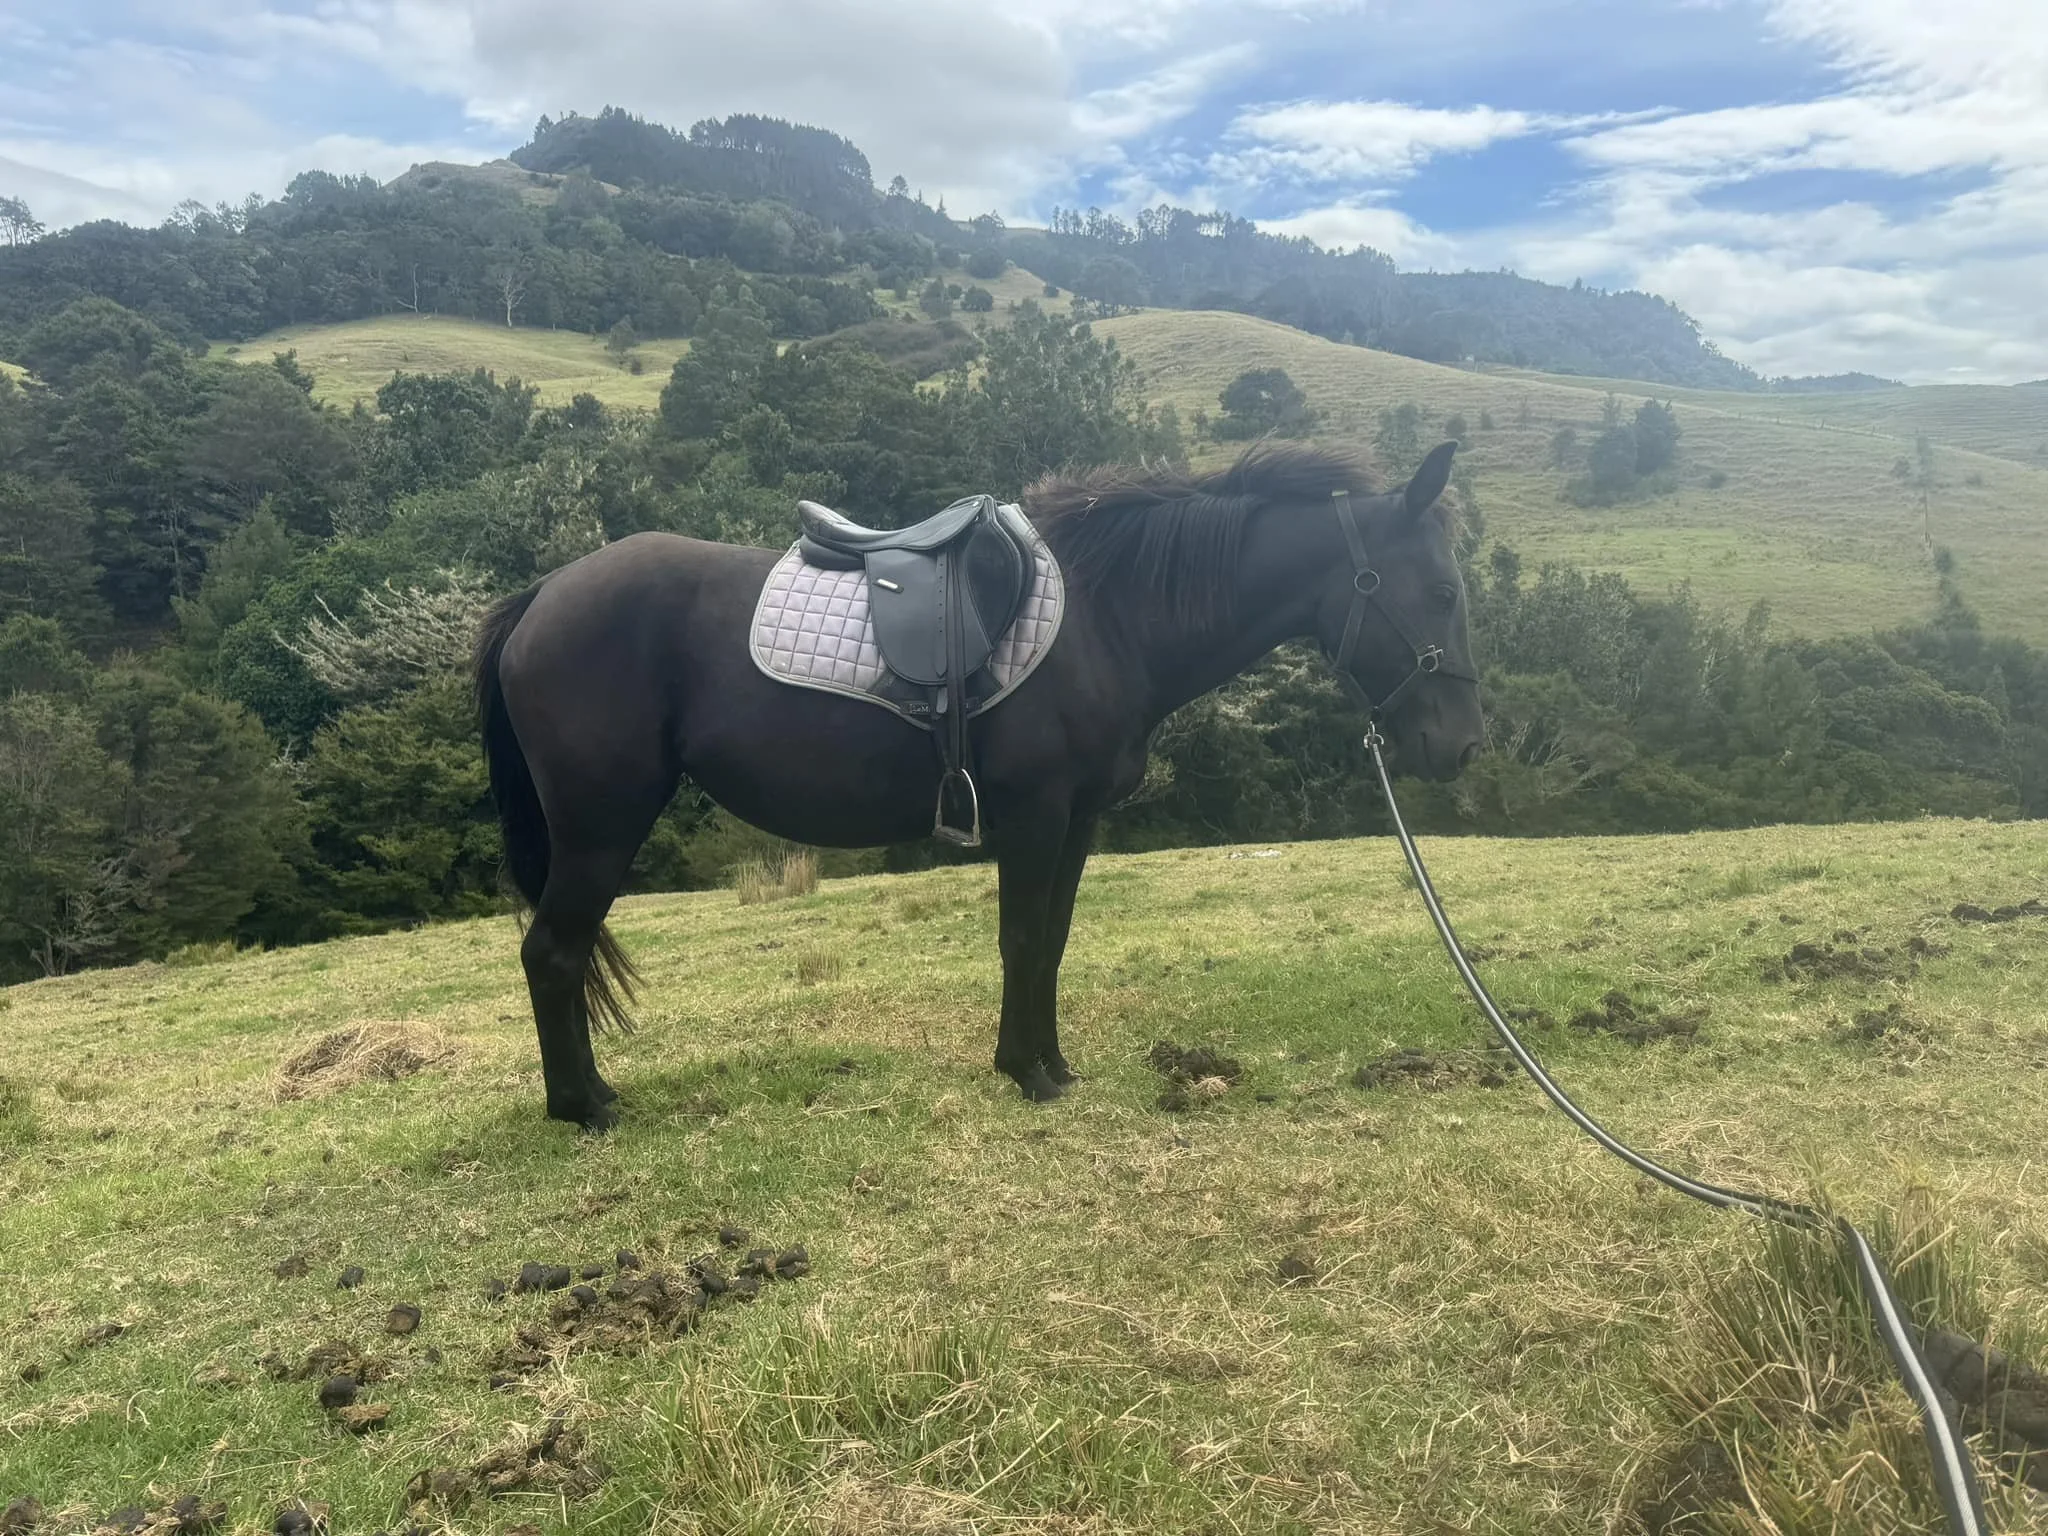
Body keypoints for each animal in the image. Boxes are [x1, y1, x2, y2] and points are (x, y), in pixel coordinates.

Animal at [473, 441, 1485, 1130]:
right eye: (1440, 592)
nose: (1463, 747)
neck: (1110, 616)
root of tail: (543, 595)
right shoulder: (1033, 817)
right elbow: (1022, 939)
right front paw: (1023, 1070)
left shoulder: (1076, 823)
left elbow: (1052, 944)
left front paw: (1052, 1064)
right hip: (601, 826)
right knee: (551, 954)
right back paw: (585, 1107)